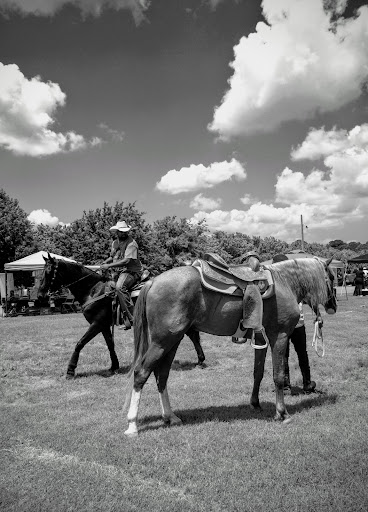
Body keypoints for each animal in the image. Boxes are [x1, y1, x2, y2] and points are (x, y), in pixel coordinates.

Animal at [38, 254, 207, 378]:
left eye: (48, 272)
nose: (40, 295)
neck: (93, 289)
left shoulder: (96, 323)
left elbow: (80, 343)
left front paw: (70, 370)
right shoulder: (104, 325)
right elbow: (110, 344)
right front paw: (114, 366)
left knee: (192, 335)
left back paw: (200, 361)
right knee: (193, 335)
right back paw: (199, 360)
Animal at [125, 258, 338, 434]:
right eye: (332, 277)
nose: (333, 307)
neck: (285, 283)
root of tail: (153, 282)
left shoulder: (261, 339)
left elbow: (258, 372)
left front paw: (255, 403)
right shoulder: (280, 336)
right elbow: (278, 376)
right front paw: (282, 413)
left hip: (172, 342)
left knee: (161, 376)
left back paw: (170, 416)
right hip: (162, 342)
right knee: (141, 373)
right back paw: (132, 425)